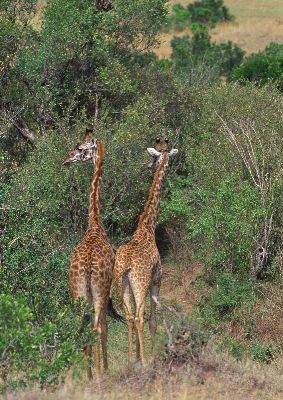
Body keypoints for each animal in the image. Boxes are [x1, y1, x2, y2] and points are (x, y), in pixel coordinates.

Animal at [112, 138, 178, 366]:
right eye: (157, 157)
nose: (149, 165)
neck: (147, 227)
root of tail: (126, 265)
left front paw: (138, 355)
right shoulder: (157, 279)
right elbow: (153, 321)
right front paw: (151, 355)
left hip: (122, 285)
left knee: (129, 316)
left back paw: (131, 359)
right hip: (140, 284)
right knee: (140, 317)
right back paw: (146, 360)